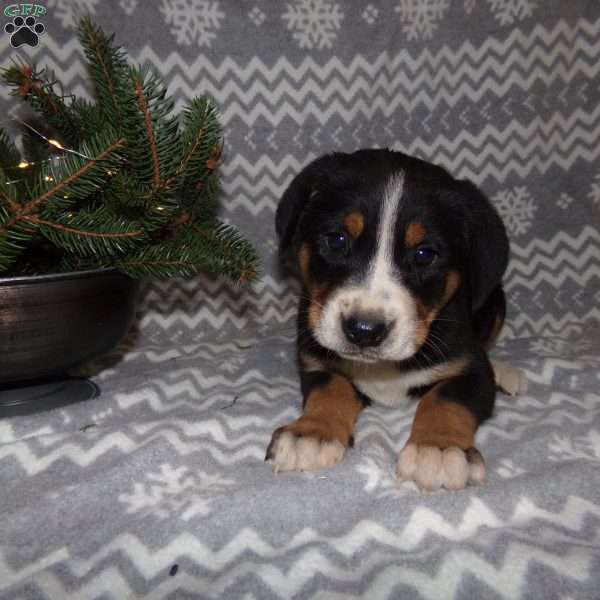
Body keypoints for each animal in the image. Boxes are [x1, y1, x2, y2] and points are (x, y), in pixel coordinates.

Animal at [266, 148, 524, 490]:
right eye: (336, 240)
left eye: (424, 254)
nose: (364, 330)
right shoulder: (316, 360)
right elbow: (332, 388)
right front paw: (311, 434)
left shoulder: (471, 369)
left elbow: (445, 399)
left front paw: (438, 449)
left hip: (494, 300)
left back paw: (505, 373)